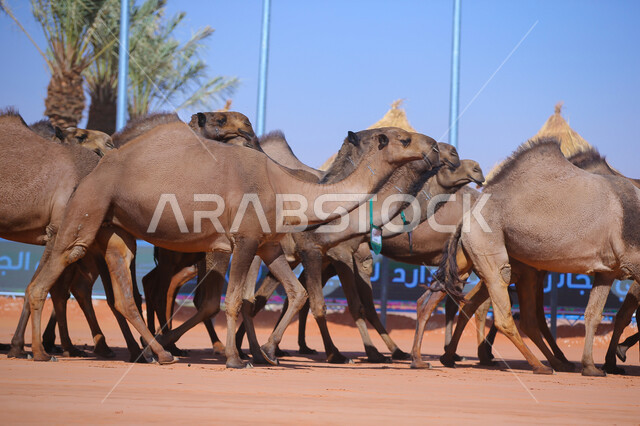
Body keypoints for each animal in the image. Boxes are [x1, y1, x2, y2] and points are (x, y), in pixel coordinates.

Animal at [23, 117, 440, 368]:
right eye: (404, 138)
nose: (436, 145)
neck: (286, 187)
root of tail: (98, 166)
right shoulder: (245, 239)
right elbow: (236, 299)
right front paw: (236, 358)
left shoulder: (268, 244)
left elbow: (293, 294)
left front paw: (266, 353)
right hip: (89, 206)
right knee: (51, 273)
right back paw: (42, 352)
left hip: (116, 226)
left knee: (124, 293)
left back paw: (159, 354)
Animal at [431, 137, 640, 376]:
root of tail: (469, 214)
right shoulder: (633, 261)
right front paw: (610, 360)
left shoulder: (607, 270)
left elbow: (593, 314)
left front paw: (591, 366)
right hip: (488, 244)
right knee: (505, 310)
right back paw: (540, 365)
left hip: (475, 253)